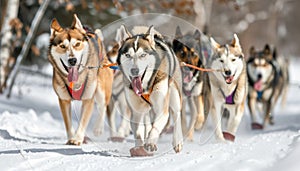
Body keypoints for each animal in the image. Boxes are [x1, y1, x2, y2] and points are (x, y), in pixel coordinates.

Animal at [48, 14, 113, 145]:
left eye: (77, 44)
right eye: (62, 46)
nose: (72, 60)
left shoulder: (88, 99)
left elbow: (83, 121)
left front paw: (77, 139)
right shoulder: (64, 100)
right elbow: (68, 123)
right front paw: (71, 138)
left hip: (101, 89)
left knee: (103, 105)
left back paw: (98, 128)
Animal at [116, 25, 183, 156]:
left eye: (143, 55)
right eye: (128, 55)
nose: (134, 71)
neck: (145, 87)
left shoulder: (162, 109)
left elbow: (155, 127)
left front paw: (150, 143)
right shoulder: (136, 112)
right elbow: (138, 131)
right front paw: (139, 147)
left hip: (175, 97)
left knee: (177, 115)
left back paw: (177, 142)